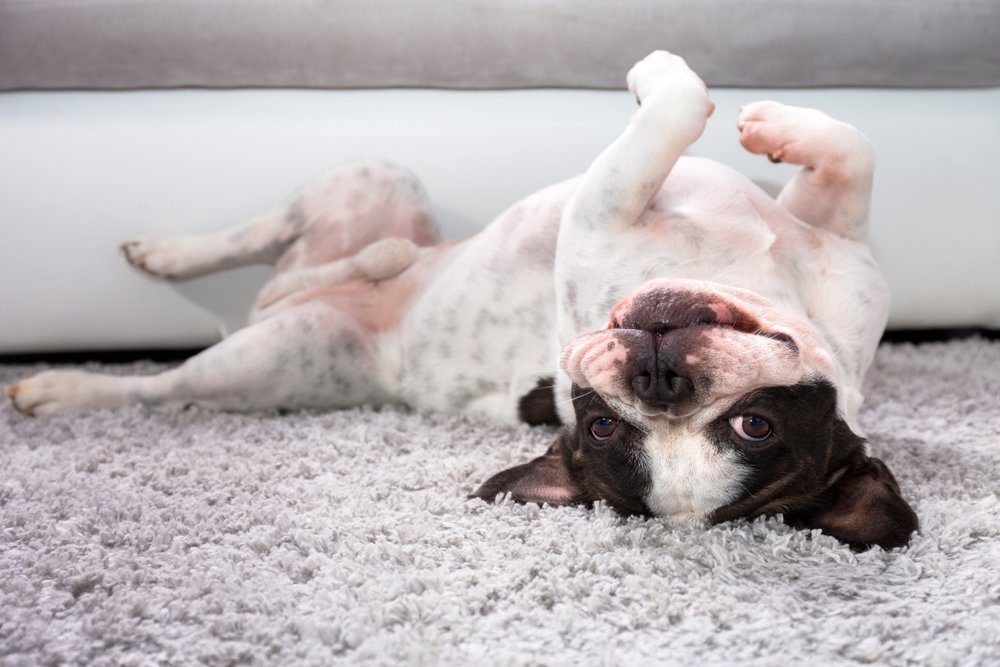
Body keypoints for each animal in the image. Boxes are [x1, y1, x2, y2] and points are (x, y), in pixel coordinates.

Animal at [5, 52, 916, 552]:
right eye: (603, 428)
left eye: (753, 426)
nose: (661, 377)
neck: (763, 276)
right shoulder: (836, 233)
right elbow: (853, 148)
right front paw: (771, 123)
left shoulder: (606, 207)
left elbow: (676, 108)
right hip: (377, 182)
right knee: (269, 242)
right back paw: (172, 252)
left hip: (274, 356)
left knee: (164, 385)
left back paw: (62, 386)